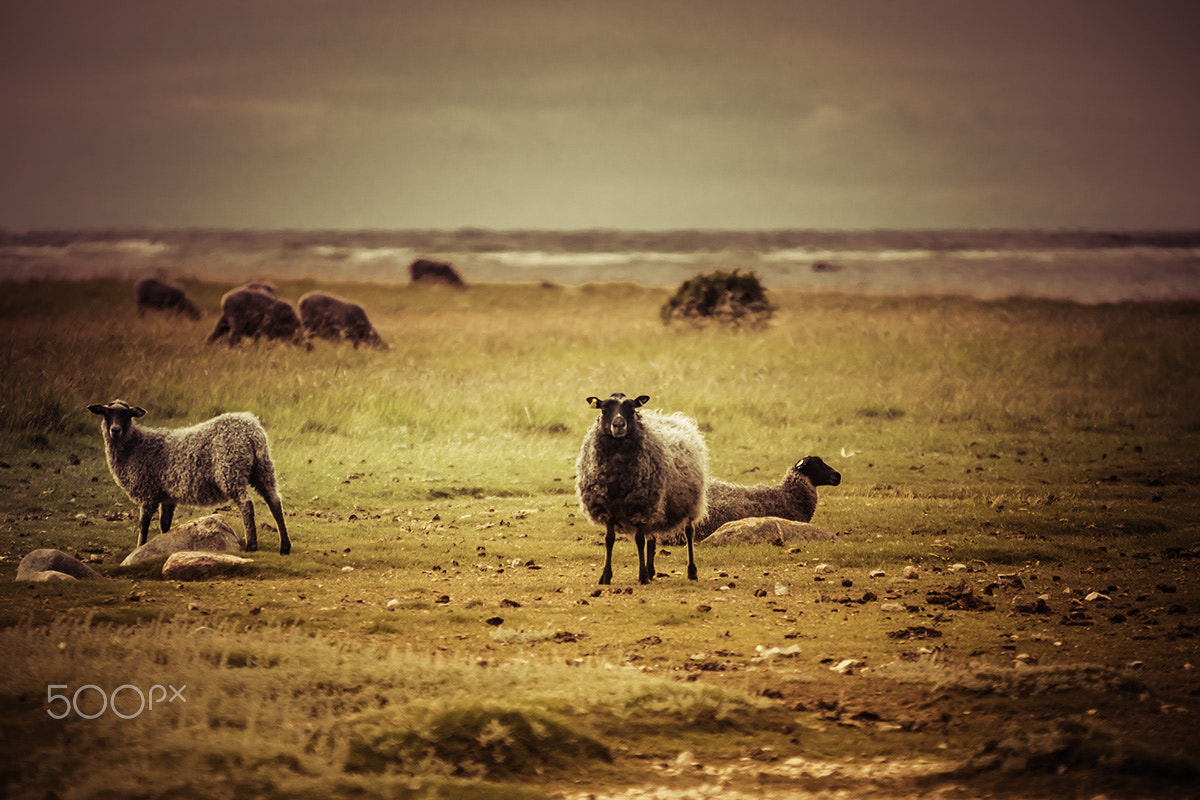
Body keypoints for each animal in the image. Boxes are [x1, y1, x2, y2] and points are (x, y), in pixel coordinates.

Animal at [87, 400, 292, 556]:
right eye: (106, 413)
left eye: (127, 414)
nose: (115, 430)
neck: (134, 445)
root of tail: (251, 429)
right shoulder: (166, 496)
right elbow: (164, 524)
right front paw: (164, 544)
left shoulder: (147, 492)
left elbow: (143, 524)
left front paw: (139, 547)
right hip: (263, 468)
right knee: (274, 501)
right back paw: (285, 546)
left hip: (230, 470)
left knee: (246, 504)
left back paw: (252, 545)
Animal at [576, 395, 705, 587]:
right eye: (604, 409)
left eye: (631, 407)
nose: (619, 424)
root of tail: (676, 419)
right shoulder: (608, 507)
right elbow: (609, 539)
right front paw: (606, 576)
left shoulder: (641, 505)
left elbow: (639, 540)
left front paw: (642, 576)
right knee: (651, 537)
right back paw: (651, 570)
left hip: (690, 503)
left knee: (689, 532)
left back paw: (691, 572)